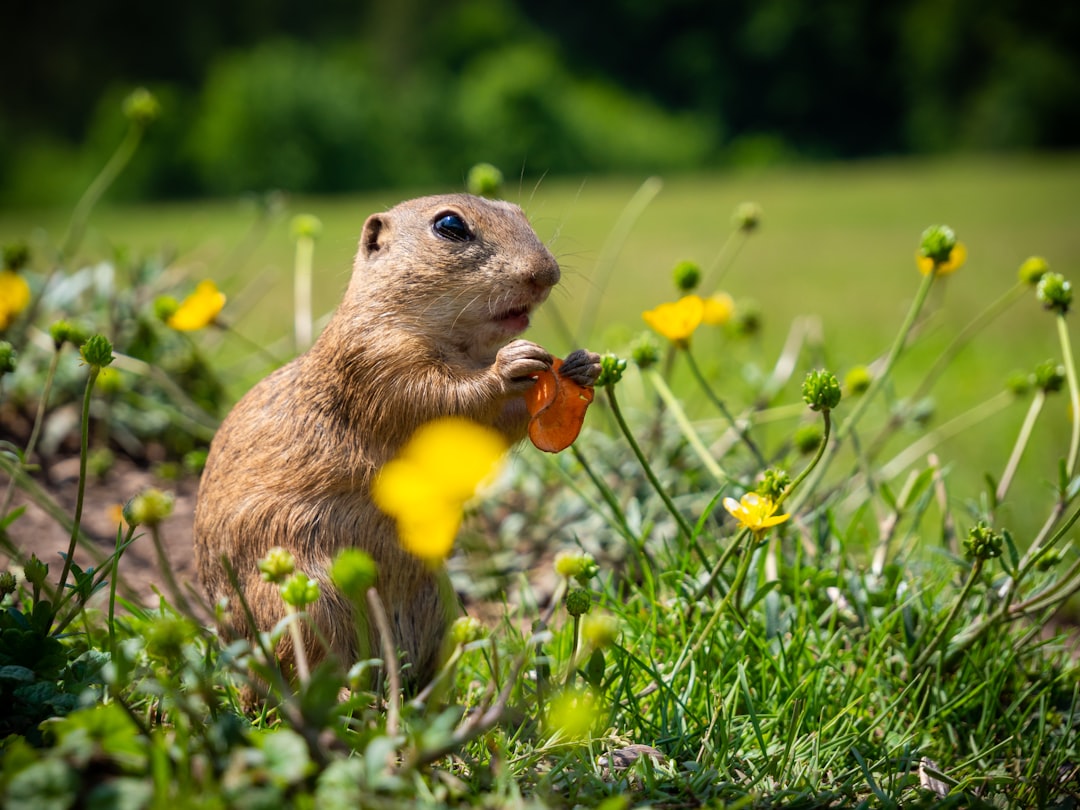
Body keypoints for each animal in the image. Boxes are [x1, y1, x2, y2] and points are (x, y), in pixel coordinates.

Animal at [194, 193, 600, 686]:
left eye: (517, 211)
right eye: (450, 226)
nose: (546, 273)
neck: (463, 346)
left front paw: (584, 365)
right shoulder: (378, 363)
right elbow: (443, 401)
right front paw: (511, 366)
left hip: (442, 605)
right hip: (302, 605)